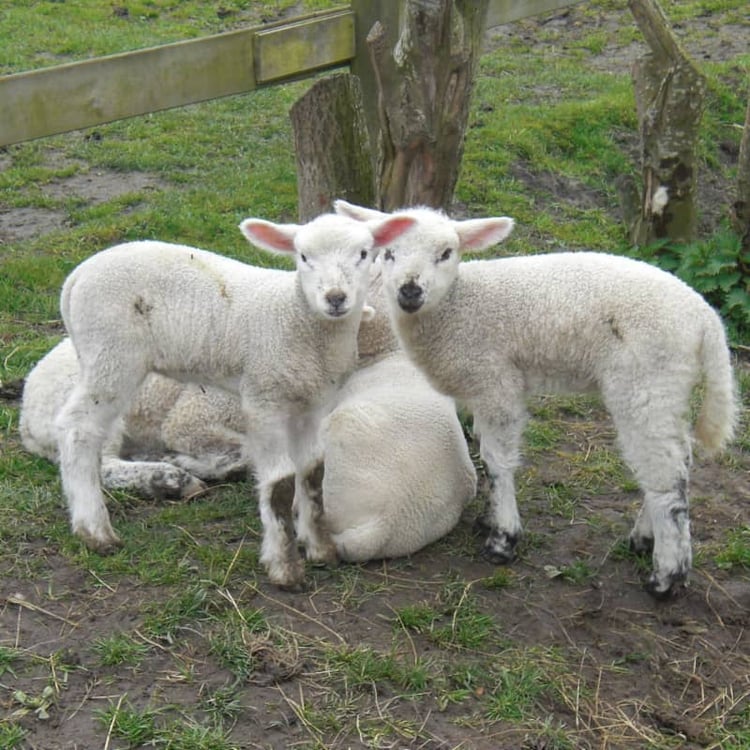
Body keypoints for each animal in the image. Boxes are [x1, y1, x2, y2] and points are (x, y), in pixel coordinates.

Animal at [22, 266, 476, 564]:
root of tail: (27, 412)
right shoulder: (194, 415)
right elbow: (242, 454)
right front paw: (192, 465)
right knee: (98, 460)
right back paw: (166, 479)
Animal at [53, 209, 418, 592]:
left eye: (363, 253)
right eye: (303, 256)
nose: (335, 297)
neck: (299, 322)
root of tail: (77, 276)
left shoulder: (314, 403)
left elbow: (313, 473)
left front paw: (319, 549)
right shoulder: (264, 398)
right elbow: (280, 484)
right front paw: (284, 567)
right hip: (111, 353)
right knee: (77, 428)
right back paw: (94, 530)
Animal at [338, 200, 744, 600]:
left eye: (446, 253)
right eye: (388, 253)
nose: (409, 291)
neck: (457, 308)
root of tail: (706, 319)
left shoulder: (496, 380)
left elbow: (497, 461)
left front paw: (502, 539)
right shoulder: (483, 387)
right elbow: (485, 451)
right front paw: (488, 519)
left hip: (645, 380)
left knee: (665, 477)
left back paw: (666, 576)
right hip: (668, 385)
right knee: (678, 462)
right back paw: (646, 539)